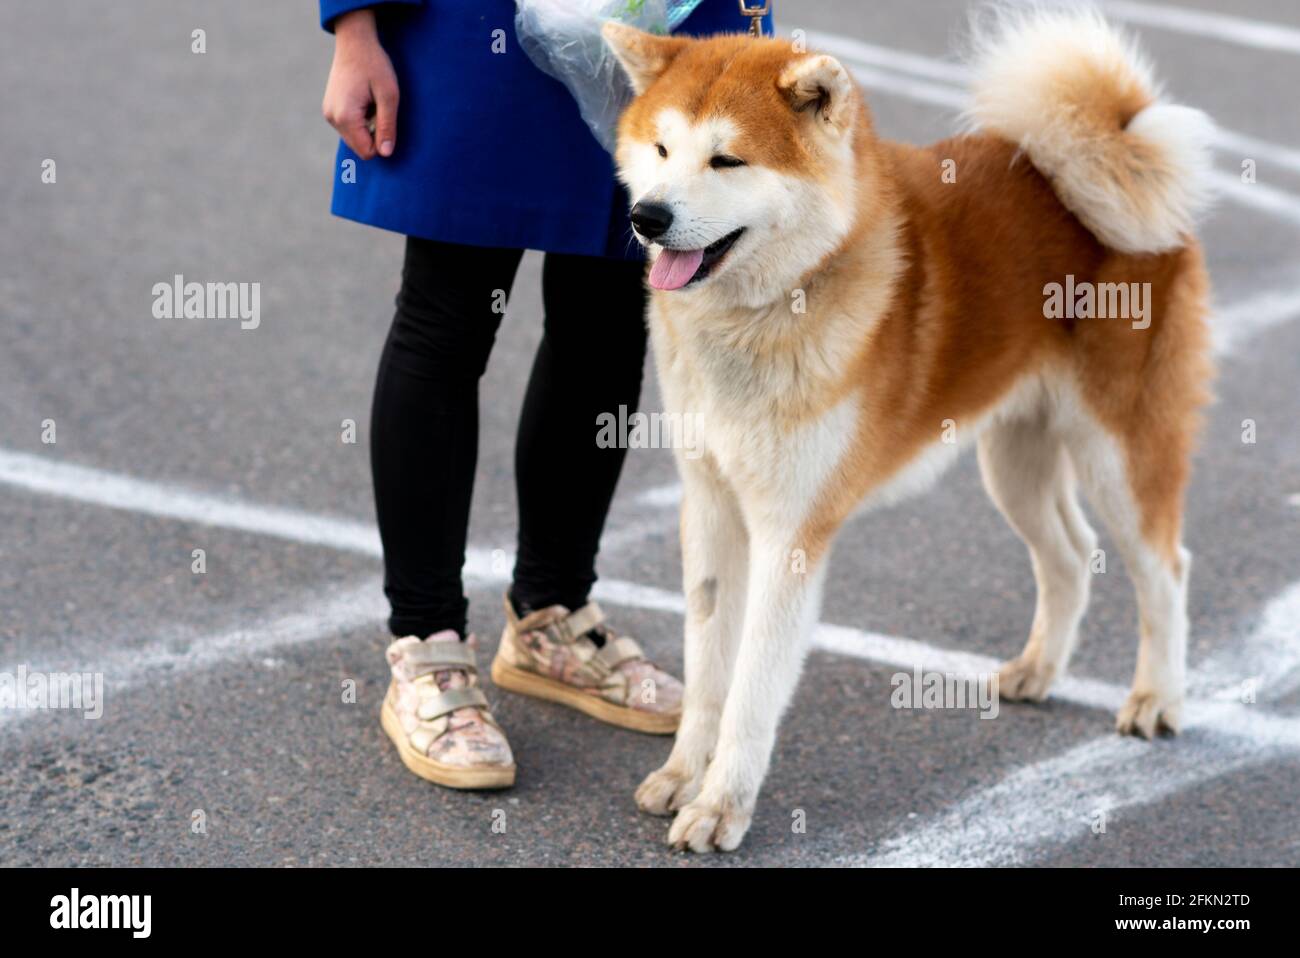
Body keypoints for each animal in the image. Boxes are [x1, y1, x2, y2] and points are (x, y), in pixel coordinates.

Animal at [603, 3, 1211, 847]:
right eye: (661, 149)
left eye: (726, 161)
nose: (648, 216)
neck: (777, 304)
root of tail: (1128, 147)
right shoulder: (712, 504)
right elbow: (707, 670)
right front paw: (682, 775)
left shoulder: (792, 533)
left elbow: (753, 688)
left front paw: (721, 807)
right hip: (1014, 460)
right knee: (1067, 554)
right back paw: (1038, 671)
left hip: (1116, 451)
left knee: (1165, 570)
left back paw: (1156, 699)